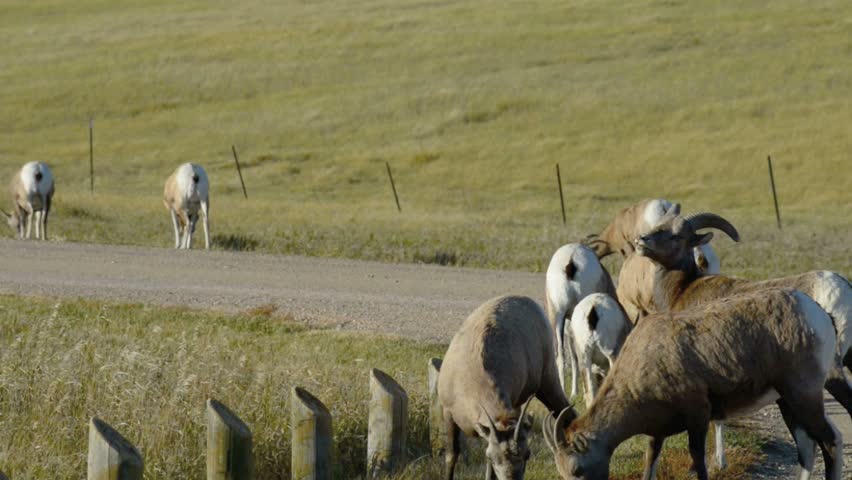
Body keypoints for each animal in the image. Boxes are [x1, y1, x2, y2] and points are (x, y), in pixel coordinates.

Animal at [438, 295, 578, 480]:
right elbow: (451, 456)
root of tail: (530, 302)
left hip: (547, 381)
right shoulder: (448, 412)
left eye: (527, 454)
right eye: (492, 456)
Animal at [543, 288, 844, 480]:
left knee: (829, 442)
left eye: (578, 471)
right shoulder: (658, 433)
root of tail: (819, 314)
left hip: (802, 396)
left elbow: (698, 462)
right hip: (787, 402)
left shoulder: (698, 417)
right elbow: (650, 462)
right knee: (808, 448)